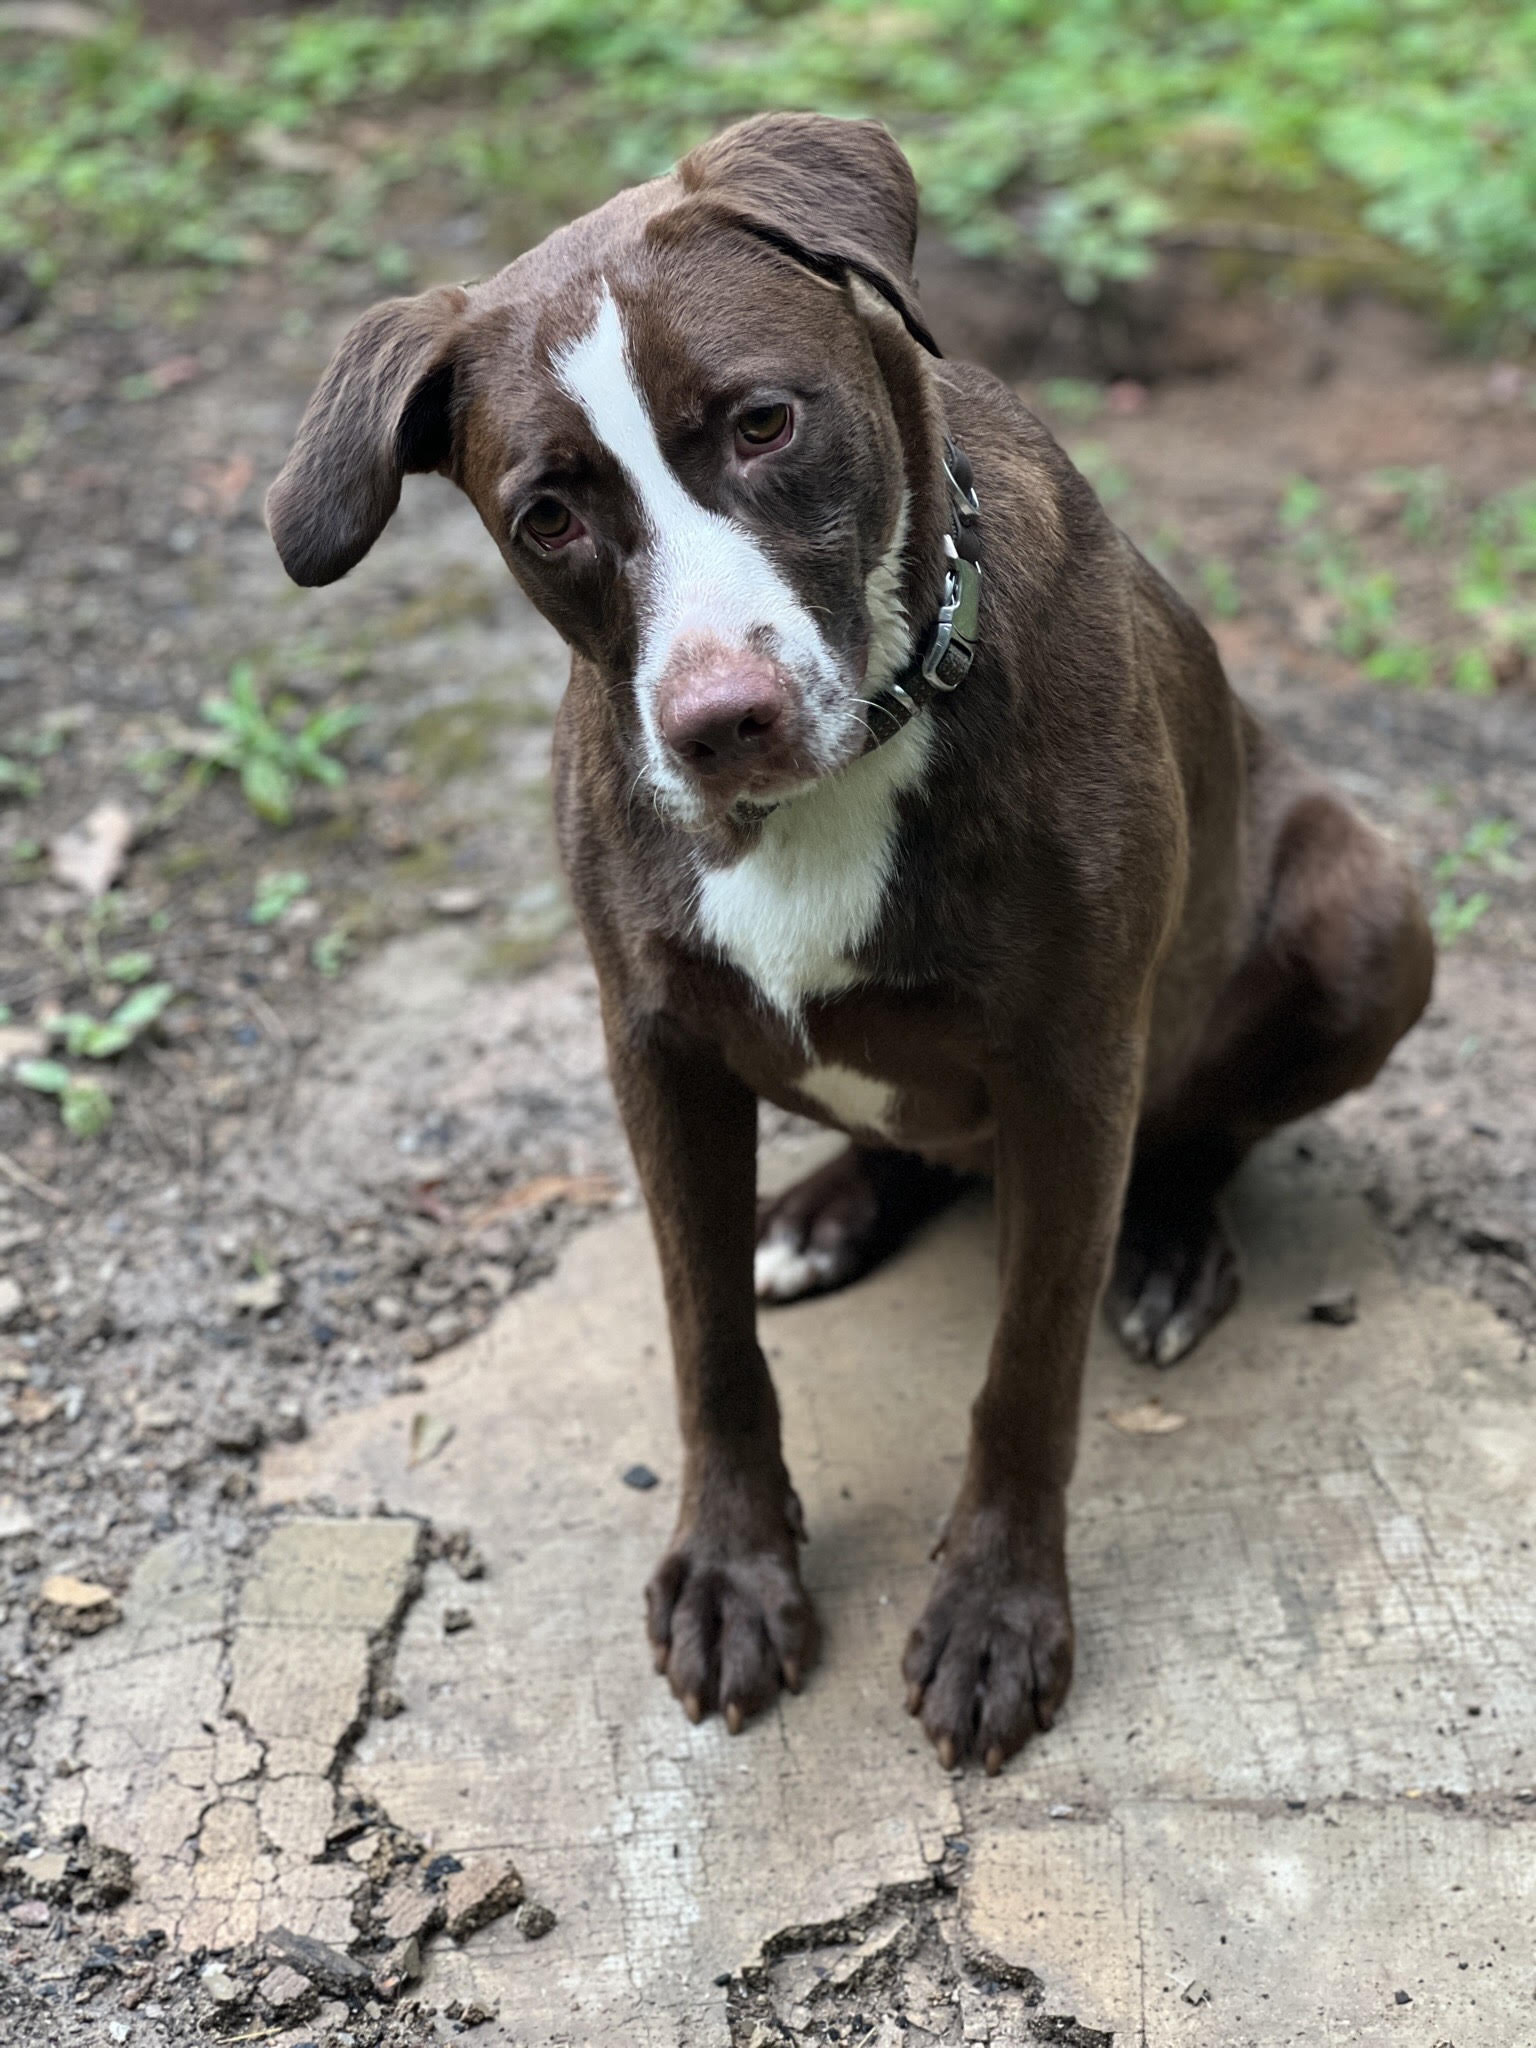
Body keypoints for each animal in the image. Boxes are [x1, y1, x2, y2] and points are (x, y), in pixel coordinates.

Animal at [270, 116, 1441, 1777]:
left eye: (764, 422)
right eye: (548, 513)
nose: (721, 721)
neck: (835, 778)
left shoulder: (1076, 1063)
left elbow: (1027, 1371)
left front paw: (997, 1613)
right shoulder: (652, 1042)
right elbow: (706, 1341)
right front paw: (732, 1572)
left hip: (1367, 919)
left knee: (1200, 1127)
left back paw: (1162, 1247)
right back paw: (827, 1209)